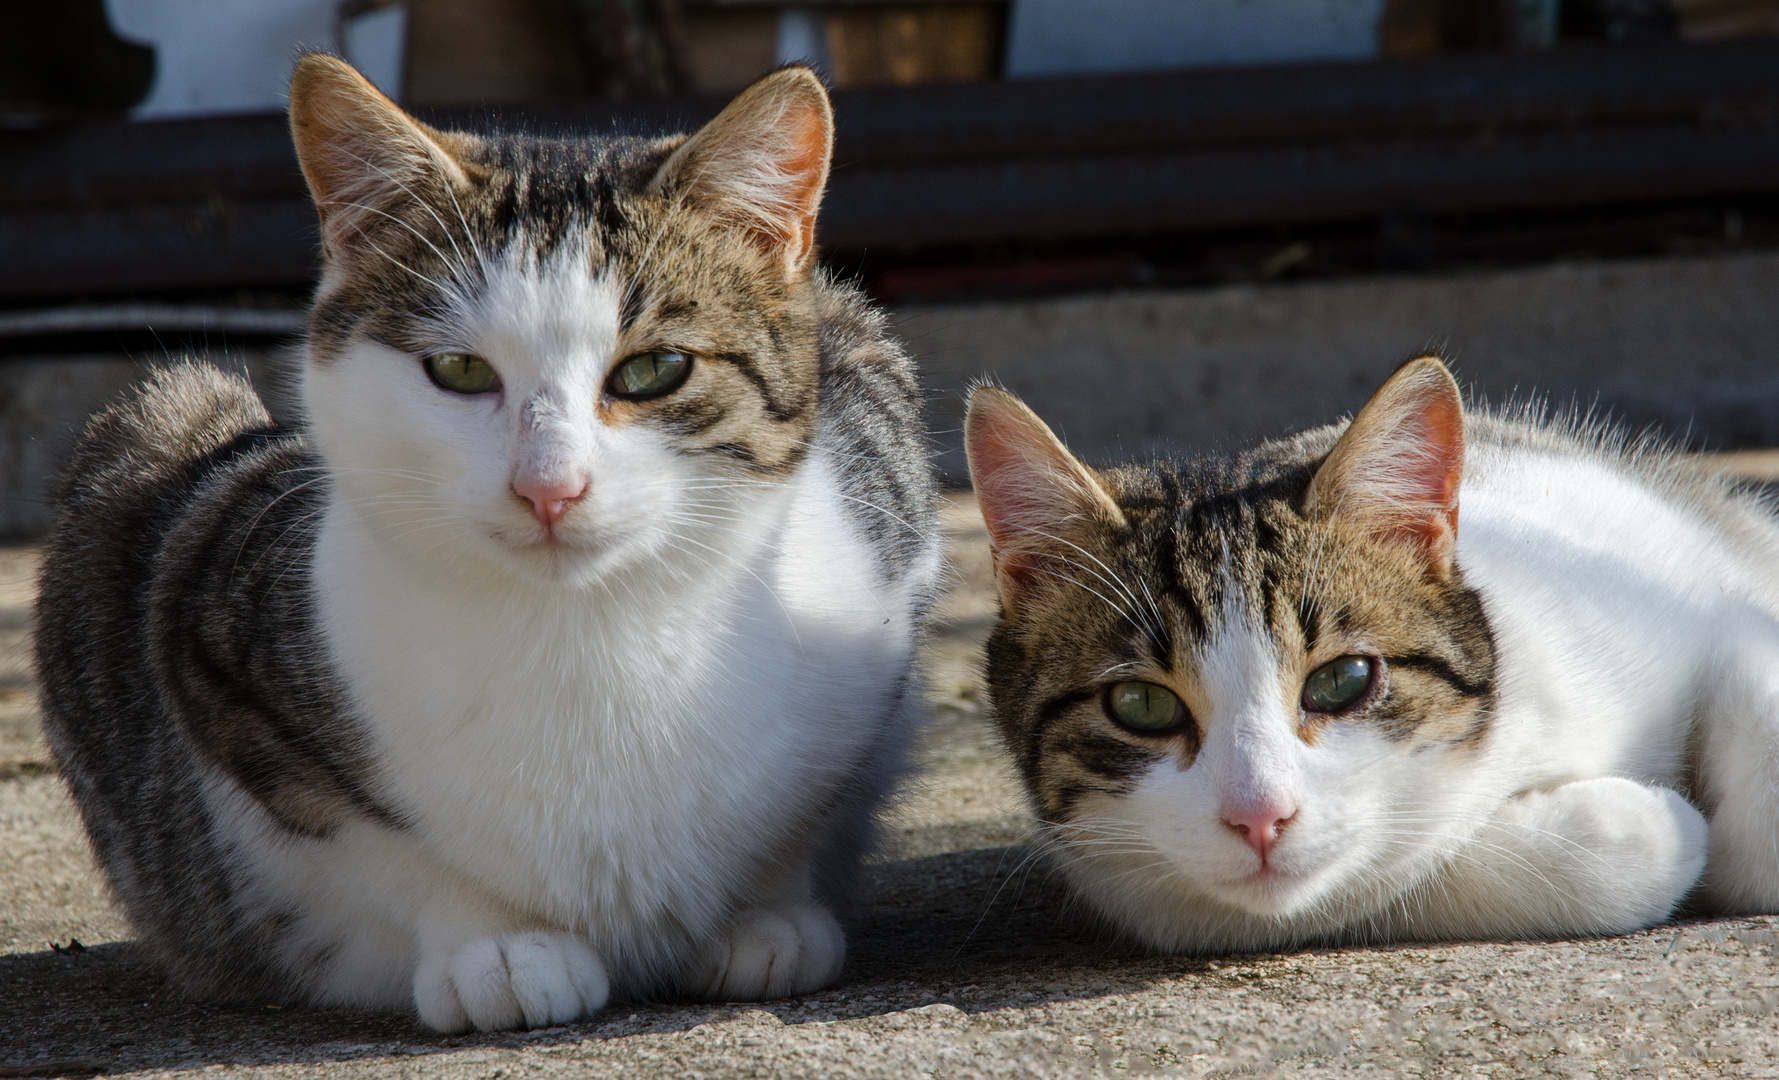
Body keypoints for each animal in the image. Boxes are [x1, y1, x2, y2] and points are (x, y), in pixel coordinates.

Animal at [34, 52, 939, 1031]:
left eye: (654, 370)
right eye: (460, 371)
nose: (549, 485)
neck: (584, 629)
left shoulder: (883, 510)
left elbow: (808, 805)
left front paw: (765, 914)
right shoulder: (210, 622)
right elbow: (389, 843)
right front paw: (498, 944)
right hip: (155, 424)